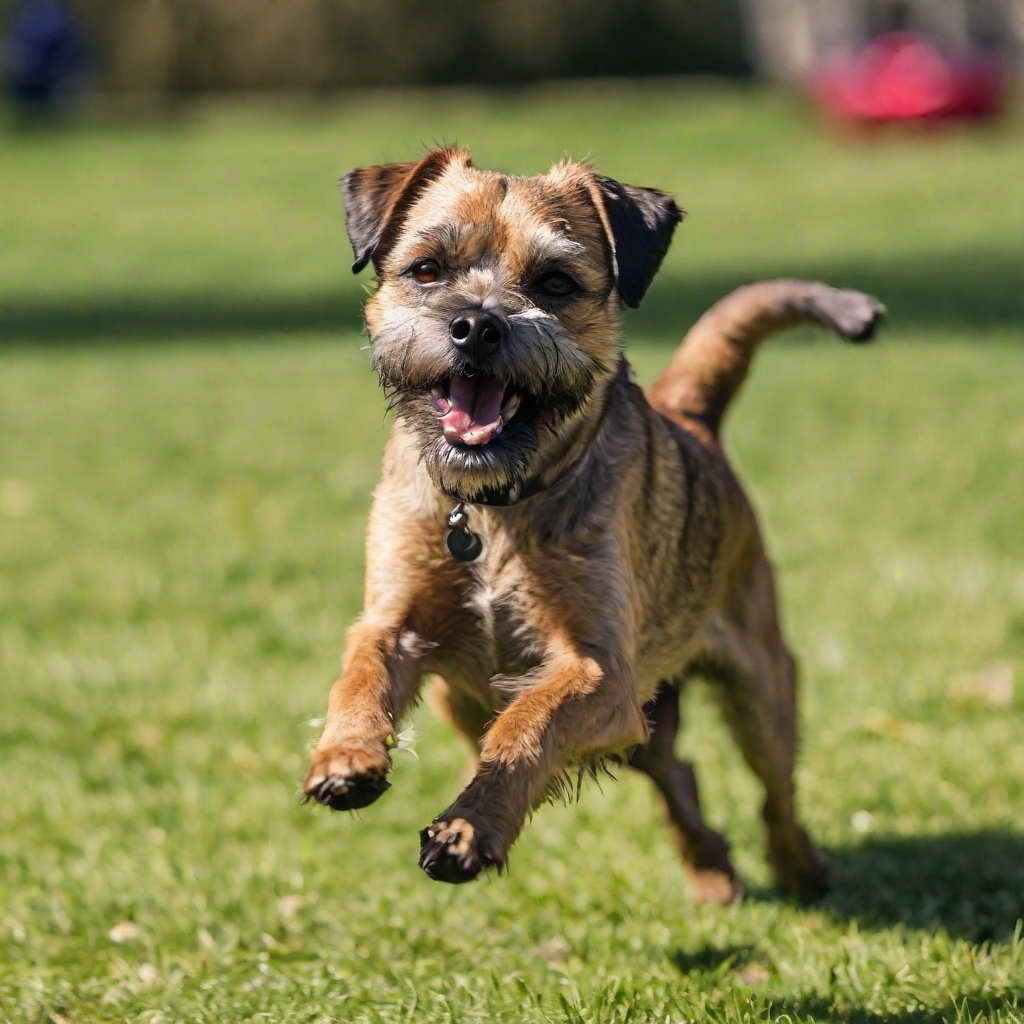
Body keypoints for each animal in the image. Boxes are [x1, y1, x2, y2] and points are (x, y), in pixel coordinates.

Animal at [301, 148, 880, 901]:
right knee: (676, 772)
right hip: (498, 703)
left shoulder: (597, 670)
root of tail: (689, 413)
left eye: (555, 282)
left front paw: (468, 830)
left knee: (773, 793)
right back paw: (711, 869)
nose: (478, 324)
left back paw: (799, 870)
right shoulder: (395, 621)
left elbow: (528, 725)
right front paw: (345, 756)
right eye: (427, 270)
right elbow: (359, 674)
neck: (493, 509)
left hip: (760, 691)